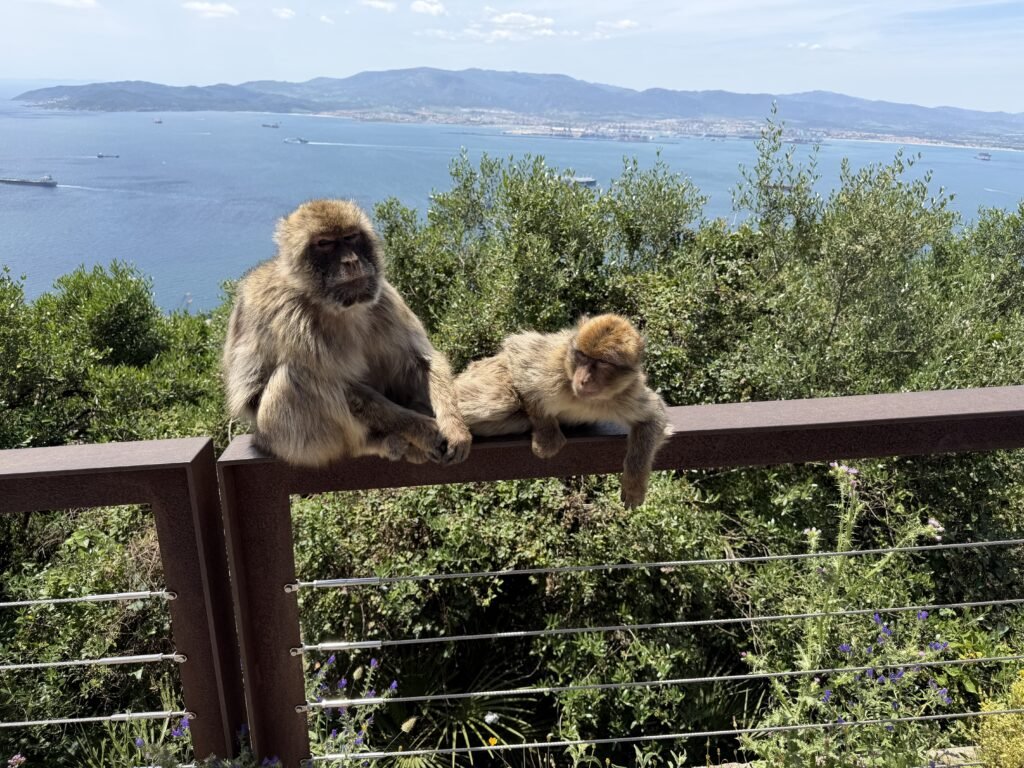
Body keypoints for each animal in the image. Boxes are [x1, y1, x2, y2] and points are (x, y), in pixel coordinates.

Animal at [222, 199, 471, 468]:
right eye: (325, 244)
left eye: (351, 237)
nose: (351, 261)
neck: (336, 308)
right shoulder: (290, 318)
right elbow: (343, 386)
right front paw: (421, 429)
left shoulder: (385, 299)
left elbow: (421, 359)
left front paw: (454, 427)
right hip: (283, 440)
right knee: (297, 378)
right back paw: (372, 443)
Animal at [454, 314, 670, 508]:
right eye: (582, 356)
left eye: (602, 362)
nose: (583, 379)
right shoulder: (553, 366)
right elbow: (520, 350)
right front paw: (547, 435)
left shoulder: (627, 393)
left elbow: (654, 416)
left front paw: (635, 482)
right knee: (503, 399)